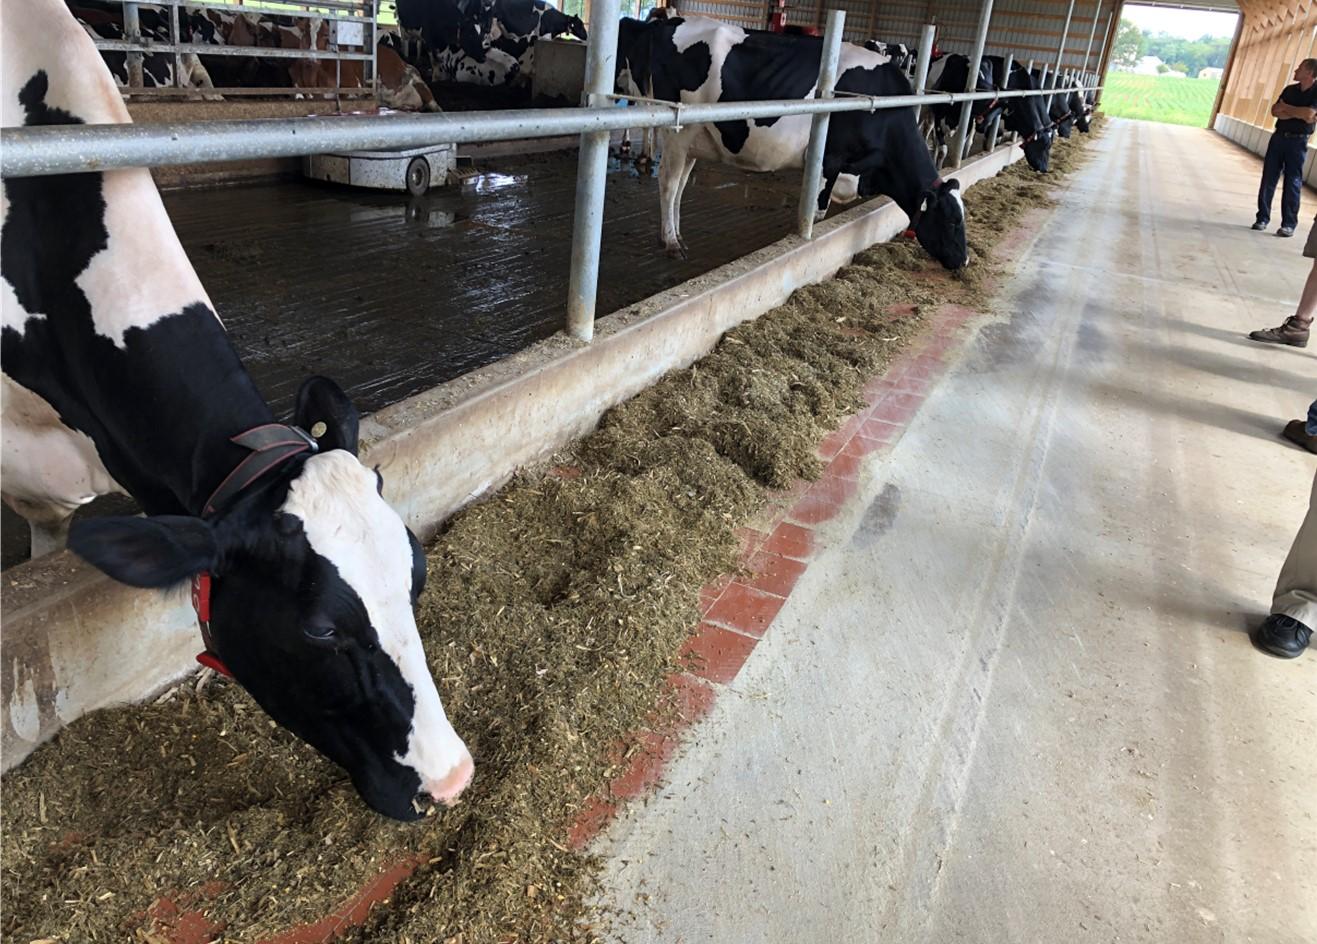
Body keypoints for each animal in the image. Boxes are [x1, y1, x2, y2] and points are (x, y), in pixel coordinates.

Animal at [616, 17, 969, 268]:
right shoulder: (830, 160)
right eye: (952, 221)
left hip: (694, 138)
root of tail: (671, 23)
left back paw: (677, 234)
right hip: (677, 131)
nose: (964, 261)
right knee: (668, 182)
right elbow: (817, 213)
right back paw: (671, 243)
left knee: (680, 185)